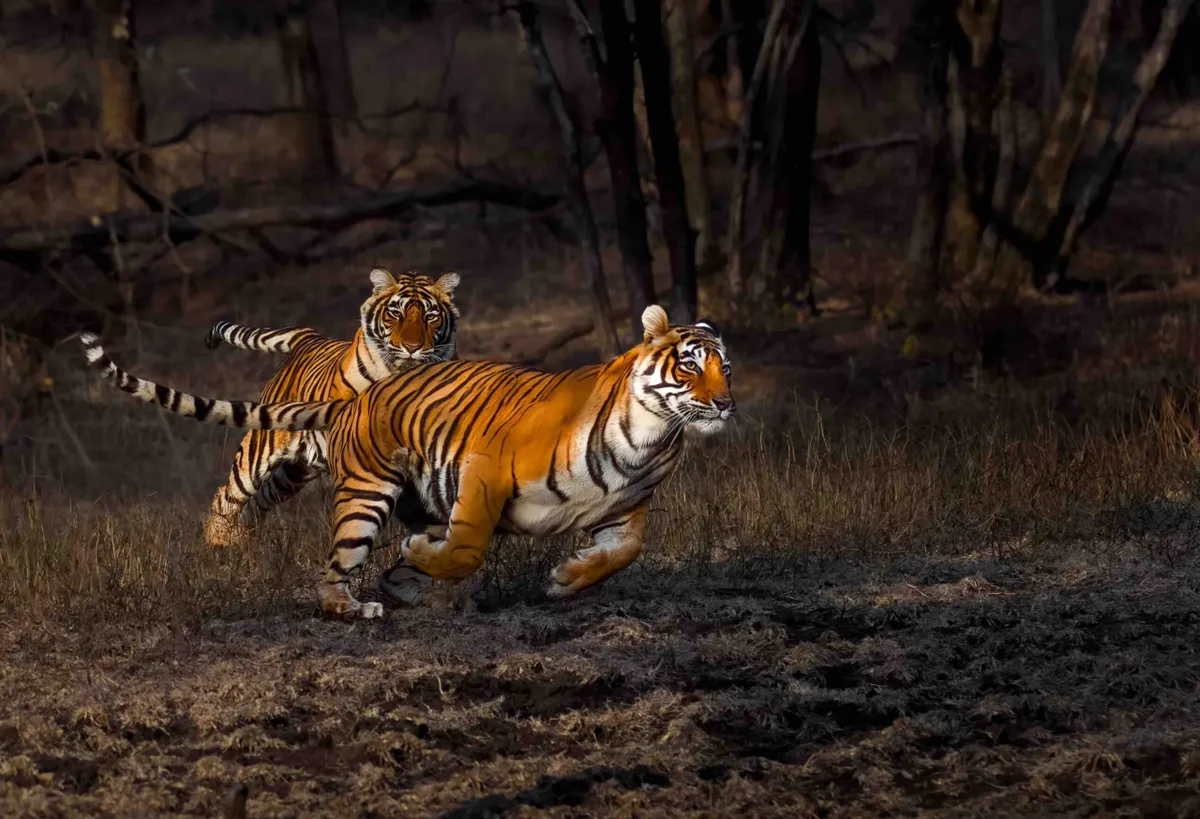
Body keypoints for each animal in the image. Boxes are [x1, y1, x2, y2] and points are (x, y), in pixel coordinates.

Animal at [79, 302, 729, 614]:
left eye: (725, 365)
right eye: (689, 365)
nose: (725, 402)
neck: (648, 438)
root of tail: (355, 397)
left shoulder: (627, 510)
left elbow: (624, 552)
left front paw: (568, 580)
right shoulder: (485, 471)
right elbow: (466, 549)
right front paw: (430, 558)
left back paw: (427, 592)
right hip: (357, 491)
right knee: (326, 567)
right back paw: (354, 602)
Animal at [196, 267, 458, 545]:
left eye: (431, 316)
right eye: (395, 313)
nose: (412, 348)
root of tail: (310, 337)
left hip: (294, 472)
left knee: (260, 500)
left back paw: (244, 541)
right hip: (261, 448)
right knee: (228, 495)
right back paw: (218, 543)